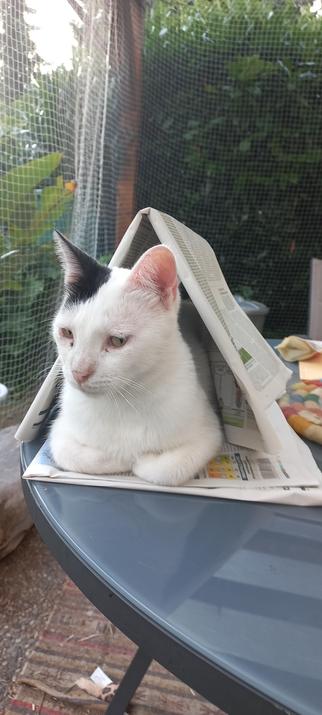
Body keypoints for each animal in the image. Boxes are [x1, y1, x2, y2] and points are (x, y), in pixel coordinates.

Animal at [49, 232, 221, 490]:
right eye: (67, 333)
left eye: (117, 341)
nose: (79, 372)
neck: (122, 401)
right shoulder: (60, 429)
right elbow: (71, 454)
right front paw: (120, 458)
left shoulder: (210, 431)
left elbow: (167, 470)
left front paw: (143, 460)